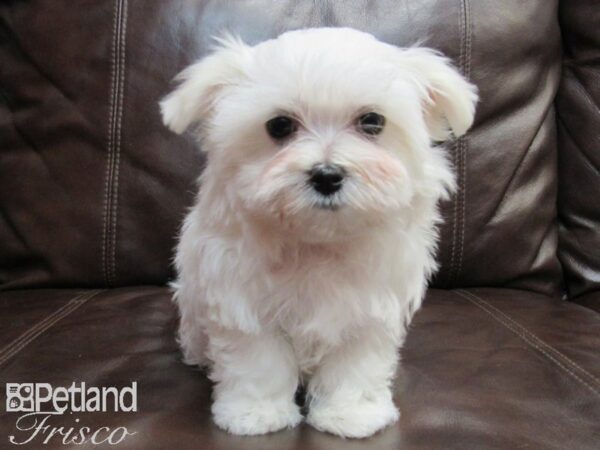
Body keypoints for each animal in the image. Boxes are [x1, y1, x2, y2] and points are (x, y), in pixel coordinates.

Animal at [159, 26, 478, 438]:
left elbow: (355, 362)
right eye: (279, 125)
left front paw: (352, 414)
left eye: (372, 121)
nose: (327, 175)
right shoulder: (242, 300)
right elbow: (257, 360)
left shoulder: (369, 308)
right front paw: (256, 413)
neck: (319, 241)